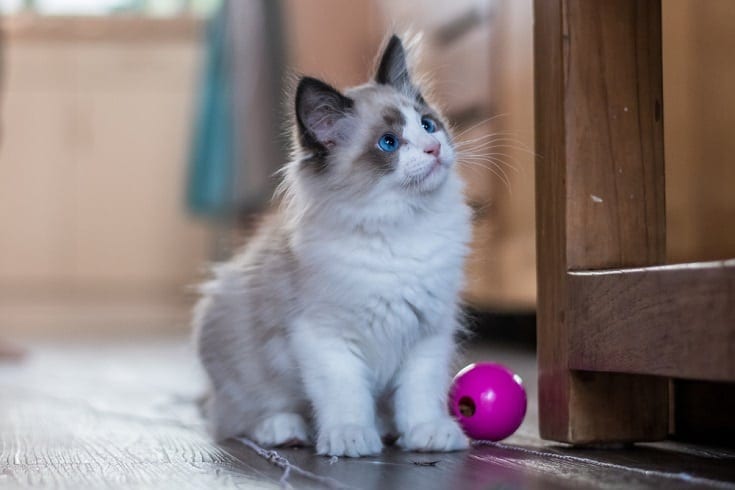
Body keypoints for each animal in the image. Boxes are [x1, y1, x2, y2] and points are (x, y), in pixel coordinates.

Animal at [196, 35, 472, 460]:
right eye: (389, 143)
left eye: (428, 125)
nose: (433, 149)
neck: (401, 228)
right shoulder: (325, 338)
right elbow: (347, 395)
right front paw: (351, 437)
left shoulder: (428, 333)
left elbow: (419, 394)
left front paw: (427, 434)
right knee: (240, 416)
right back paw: (286, 431)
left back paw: (388, 428)